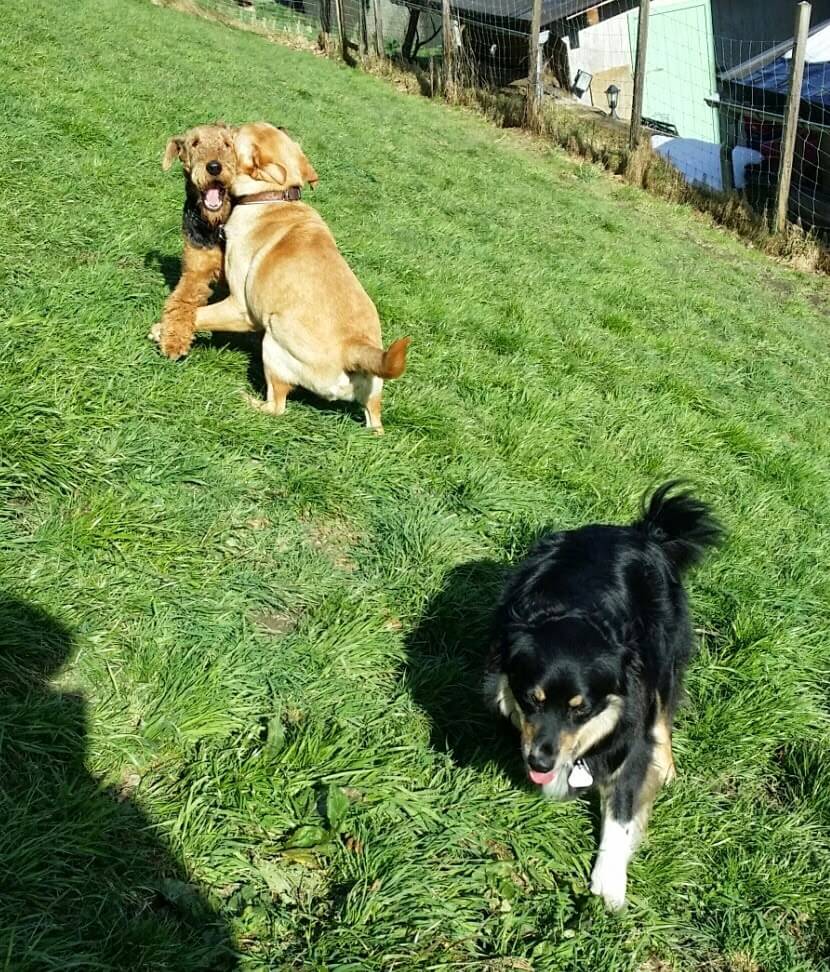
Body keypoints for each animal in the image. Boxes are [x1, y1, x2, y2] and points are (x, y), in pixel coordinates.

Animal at [149, 123, 238, 360]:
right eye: (195, 143)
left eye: (227, 144)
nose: (214, 167)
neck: (218, 225)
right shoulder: (196, 271)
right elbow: (180, 301)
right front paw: (173, 340)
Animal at [190, 122, 410, 433]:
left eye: (236, 135)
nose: (226, 126)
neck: (274, 196)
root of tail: (354, 349)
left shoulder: (241, 309)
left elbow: (198, 314)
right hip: (374, 395)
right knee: (375, 423)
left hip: (273, 344)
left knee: (277, 406)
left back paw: (249, 401)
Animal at [485, 482, 723, 910]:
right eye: (532, 699)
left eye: (582, 710)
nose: (539, 762)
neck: (578, 613)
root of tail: (644, 532)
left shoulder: (632, 727)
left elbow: (623, 809)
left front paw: (609, 881)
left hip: (667, 658)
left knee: (664, 716)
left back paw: (668, 765)